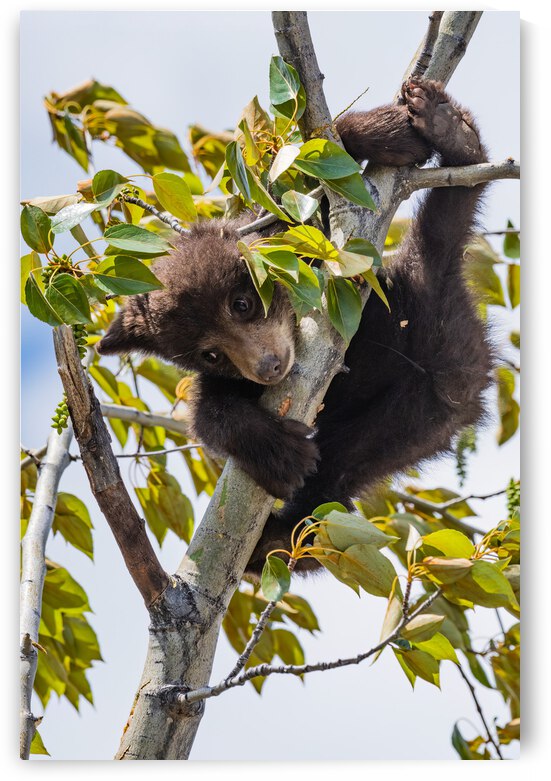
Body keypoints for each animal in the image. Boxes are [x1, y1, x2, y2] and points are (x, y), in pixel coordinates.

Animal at [97, 79, 493, 576]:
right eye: (210, 353)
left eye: (242, 304)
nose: (267, 367)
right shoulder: (226, 381)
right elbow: (207, 413)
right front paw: (277, 452)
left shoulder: (305, 233)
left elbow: (306, 181)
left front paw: (387, 131)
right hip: (416, 414)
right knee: (339, 470)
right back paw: (276, 539)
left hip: (422, 333)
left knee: (443, 226)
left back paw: (452, 134)